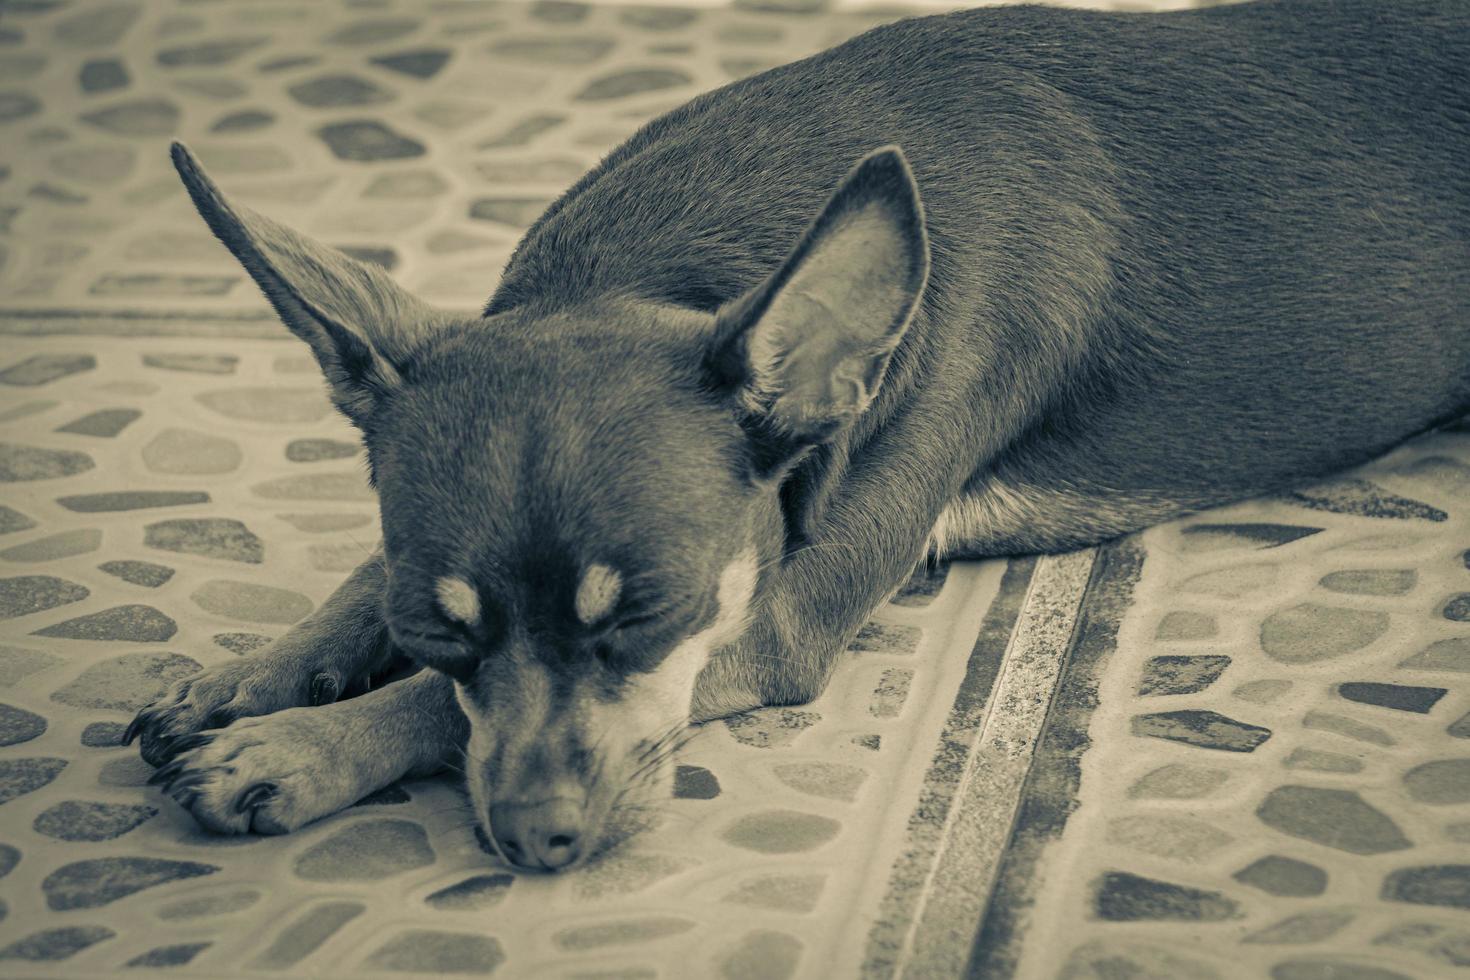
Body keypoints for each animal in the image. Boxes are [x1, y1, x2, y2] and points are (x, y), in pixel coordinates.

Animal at [129, 0, 1470, 875]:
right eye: (434, 630)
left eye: (651, 617)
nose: (535, 843)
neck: (660, 265)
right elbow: (371, 593)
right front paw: (260, 671)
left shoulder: (772, 621)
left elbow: (433, 719)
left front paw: (297, 745)